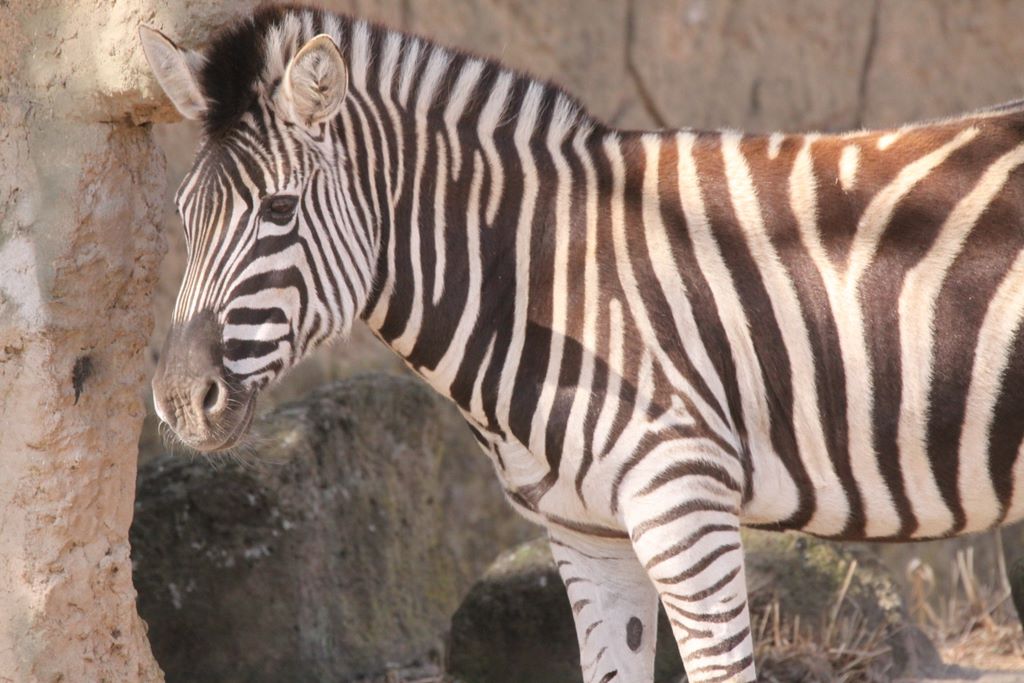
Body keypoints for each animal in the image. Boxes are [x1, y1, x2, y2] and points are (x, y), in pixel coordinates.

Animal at [143, 5, 1024, 681]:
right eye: (181, 214)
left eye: (279, 210)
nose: (180, 400)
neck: (548, 280)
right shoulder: (587, 532)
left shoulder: (684, 501)